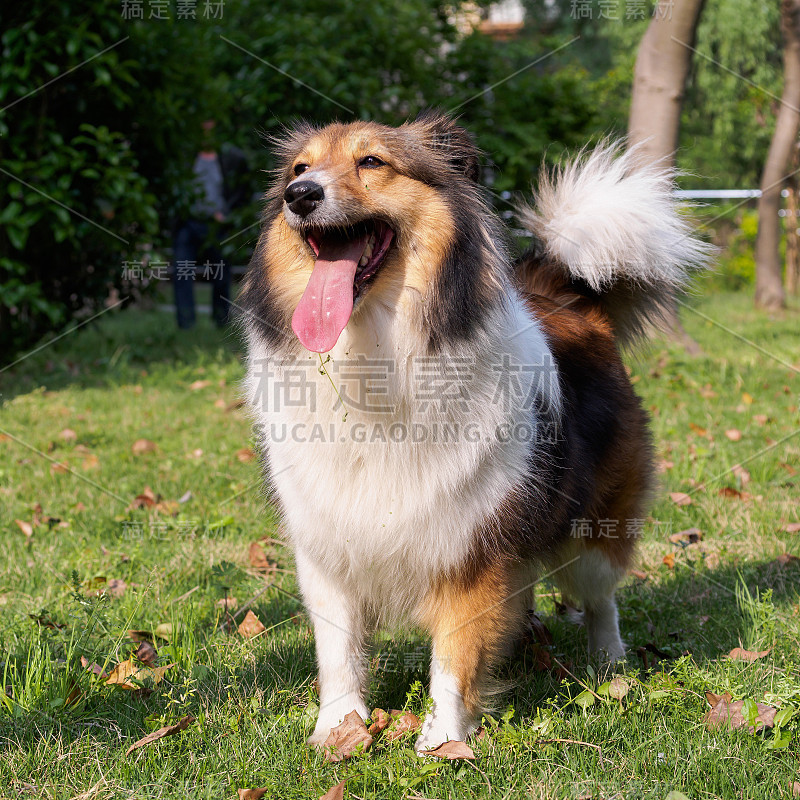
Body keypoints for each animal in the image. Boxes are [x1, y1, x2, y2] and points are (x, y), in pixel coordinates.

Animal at [239, 111, 712, 752]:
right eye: (298, 168)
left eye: (372, 162)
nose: (300, 195)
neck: (374, 358)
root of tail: (568, 296)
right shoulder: (327, 544)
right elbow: (339, 651)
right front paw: (338, 729)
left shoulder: (471, 541)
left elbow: (456, 653)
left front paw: (442, 740)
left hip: (595, 524)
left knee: (601, 595)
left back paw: (609, 662)